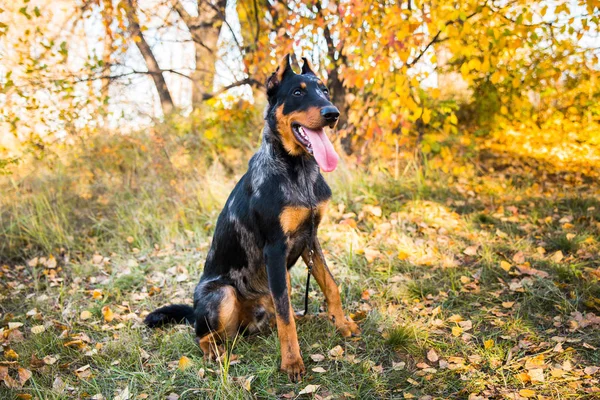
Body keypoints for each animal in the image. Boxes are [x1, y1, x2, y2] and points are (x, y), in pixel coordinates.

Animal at [144, 54, 360, 382]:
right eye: (297, 93)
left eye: (323, 90)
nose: (332, 113)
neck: (298, 170)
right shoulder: (275, 249)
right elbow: (285, 315)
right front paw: (292, 361)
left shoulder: (310, 238)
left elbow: (330, 285)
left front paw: (343, 324)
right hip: (222, 294)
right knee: (202, 334)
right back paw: (215, 352)